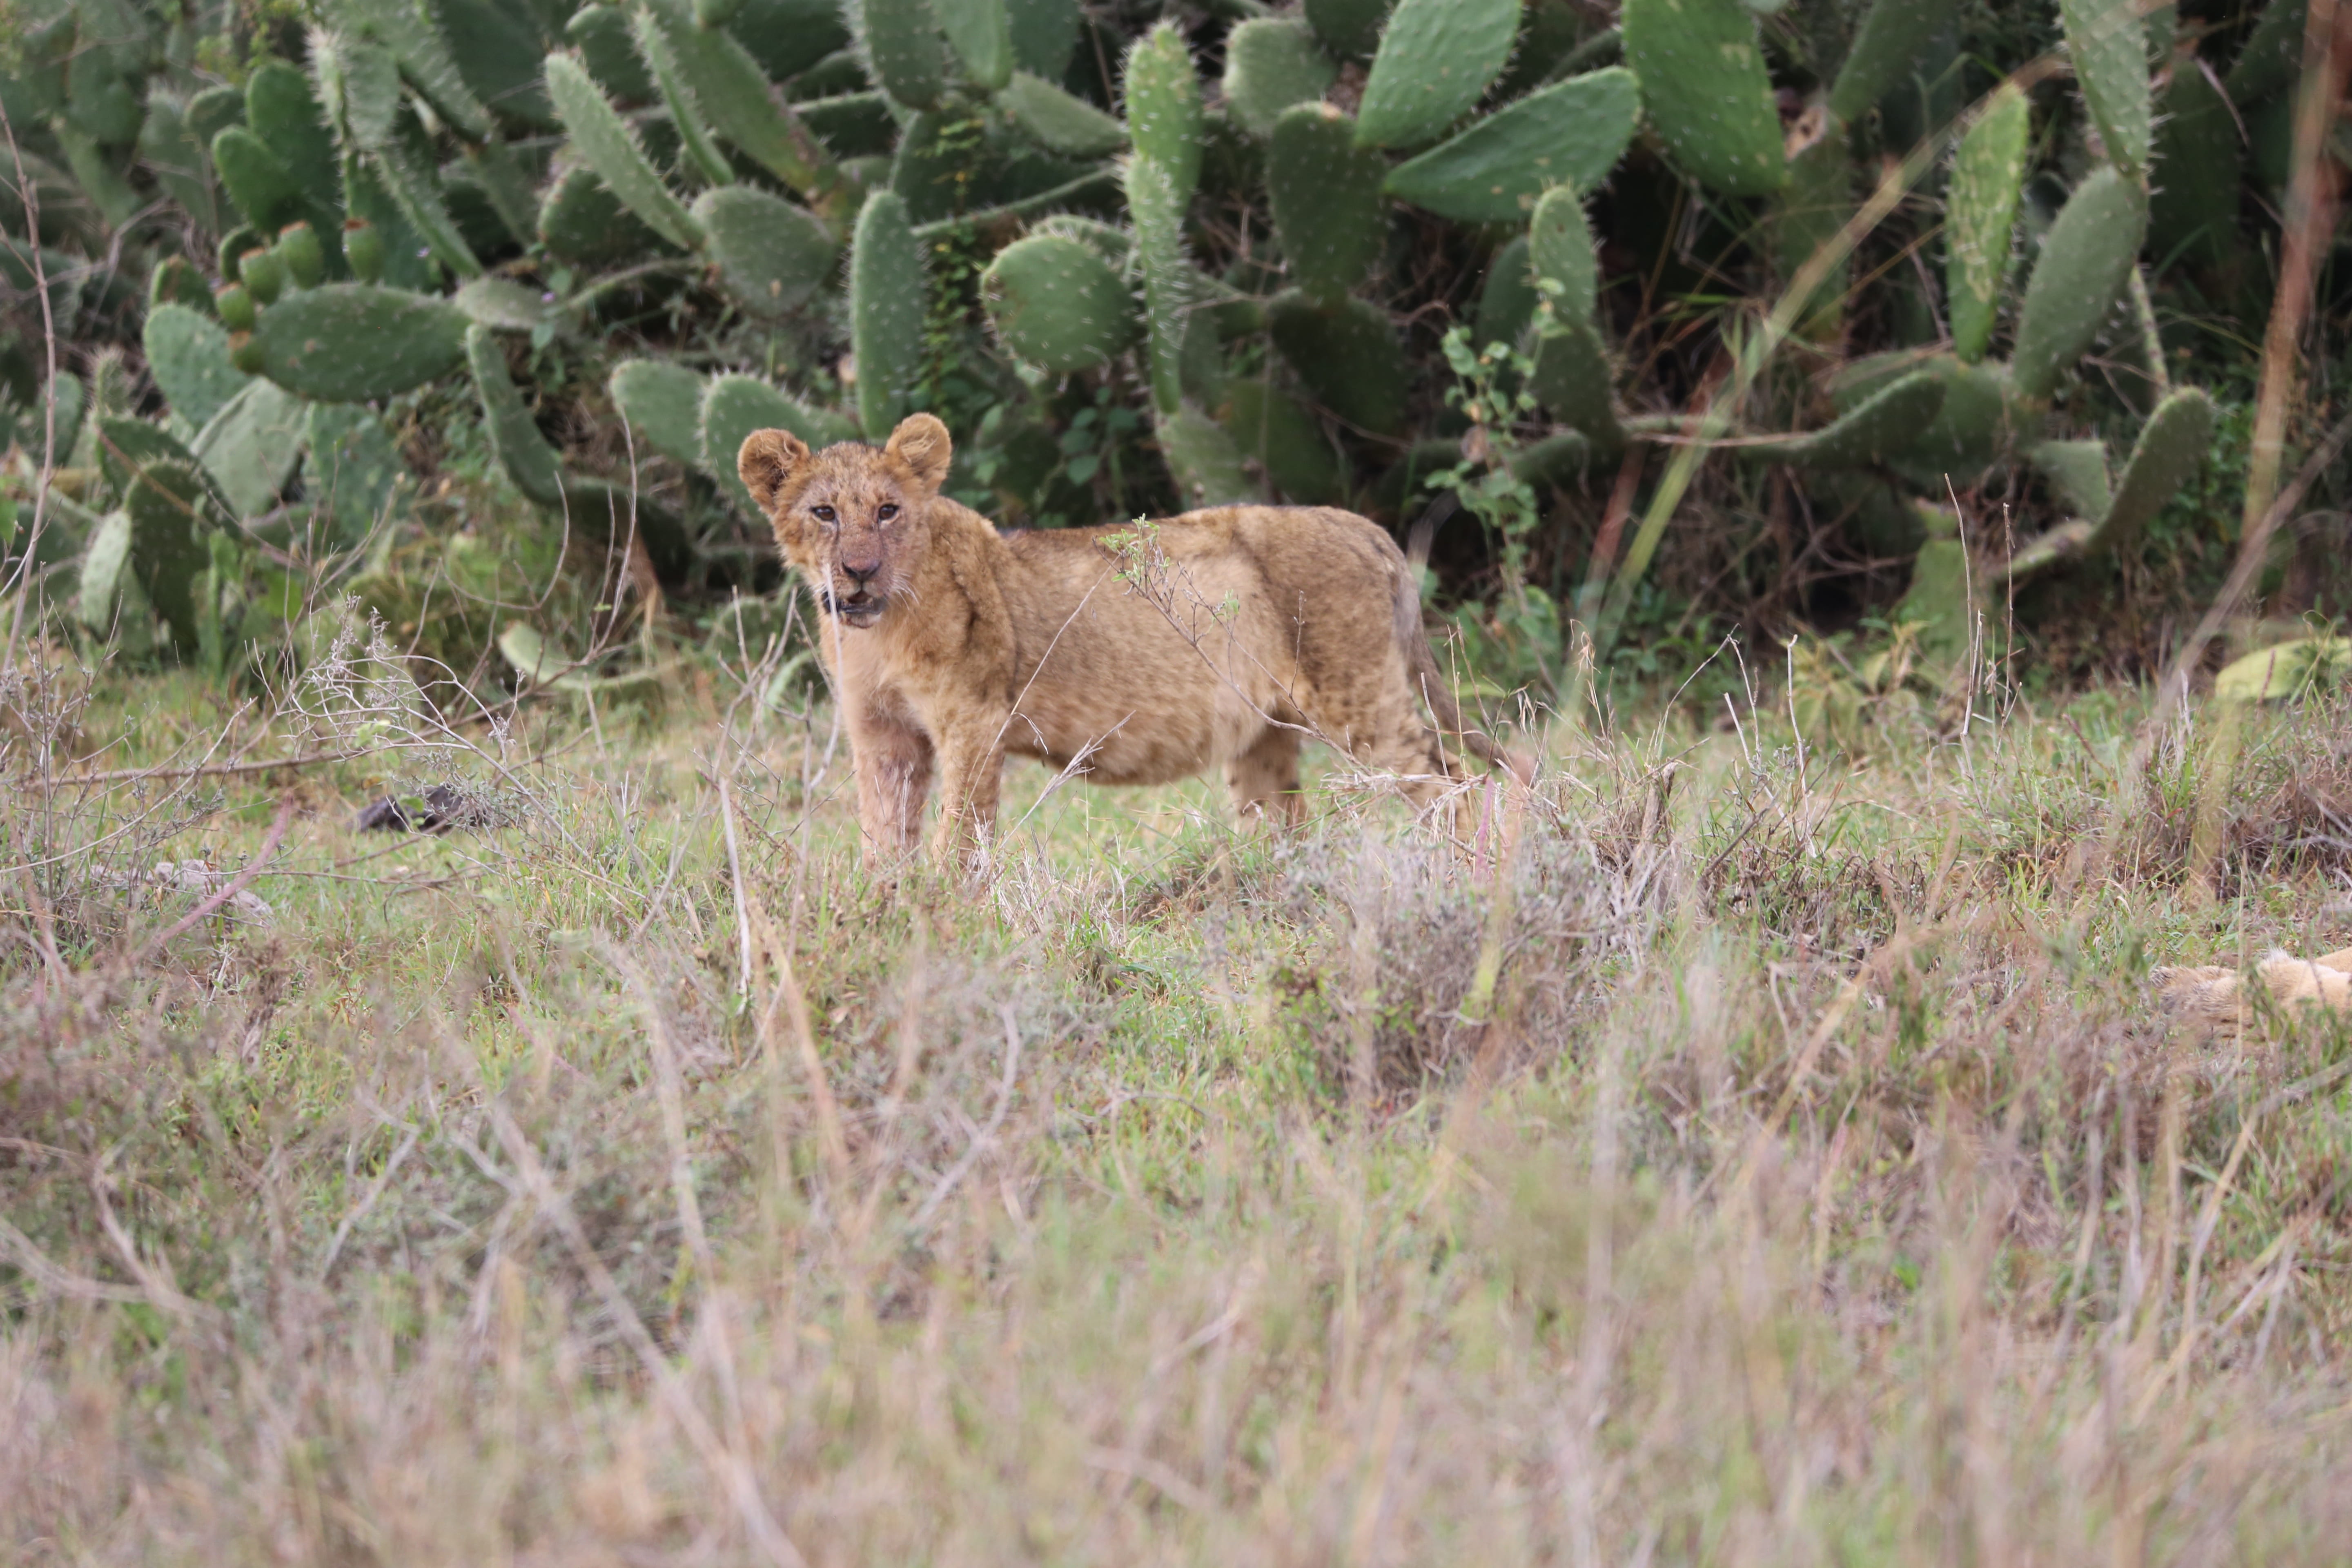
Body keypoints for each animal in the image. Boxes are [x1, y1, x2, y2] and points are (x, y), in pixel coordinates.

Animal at [737, 413, 1526, 870]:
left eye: (888, 511)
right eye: (825, 513)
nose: (859, 571)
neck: (879, 629)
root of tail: (1363, 526)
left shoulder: (974, 721)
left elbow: (957, 833)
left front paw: (941, 919)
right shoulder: (883, 736)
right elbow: (881, 837)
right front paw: (883, 919)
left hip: (1362, 703)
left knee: (1455, 784)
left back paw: (1465, 881)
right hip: (1264, 735)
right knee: (1284, 823)